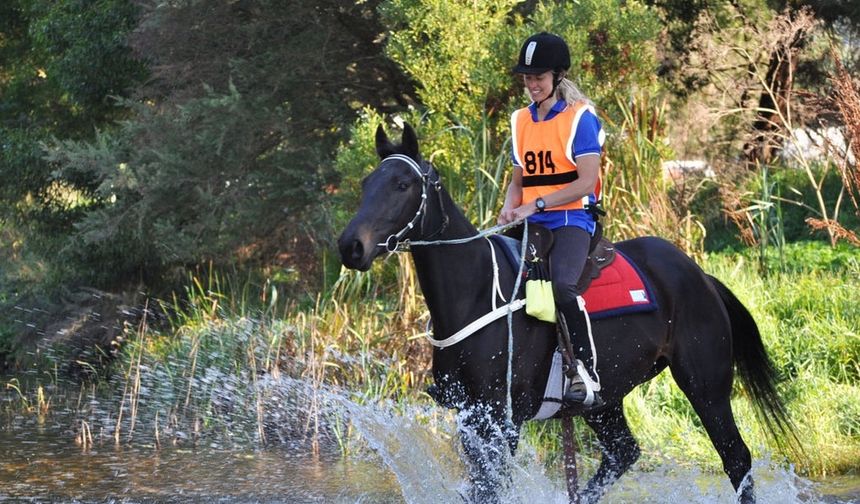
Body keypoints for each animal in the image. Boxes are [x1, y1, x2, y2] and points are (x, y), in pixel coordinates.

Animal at [340, 123, 796, 504]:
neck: (477, 292)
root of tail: (699, 275)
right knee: (623, 454)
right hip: (604, 402)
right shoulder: (471, 420)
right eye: (365, 184)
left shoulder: (502, 421)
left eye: (402, 185)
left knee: (736, 458)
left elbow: (489, 490)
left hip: (706, 386)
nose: (351, 246)